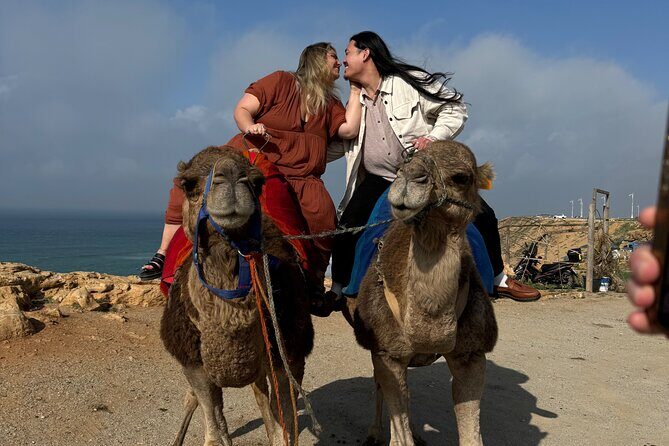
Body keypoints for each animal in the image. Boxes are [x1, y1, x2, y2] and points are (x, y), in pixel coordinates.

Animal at [160, 146, 314, 446]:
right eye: (188, 184)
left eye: (258, 182)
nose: (230, 175)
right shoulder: (193, 361)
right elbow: (211, 424)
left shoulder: (290, 352)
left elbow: (283, 425)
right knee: (201, 401)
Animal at [348, 140, 498, 446]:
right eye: (401, 166)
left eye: (461, 177)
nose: (409, 178)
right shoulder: (387, 352)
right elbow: (399, 432)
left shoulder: (472, 353)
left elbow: (471, 435)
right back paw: (374, 433)